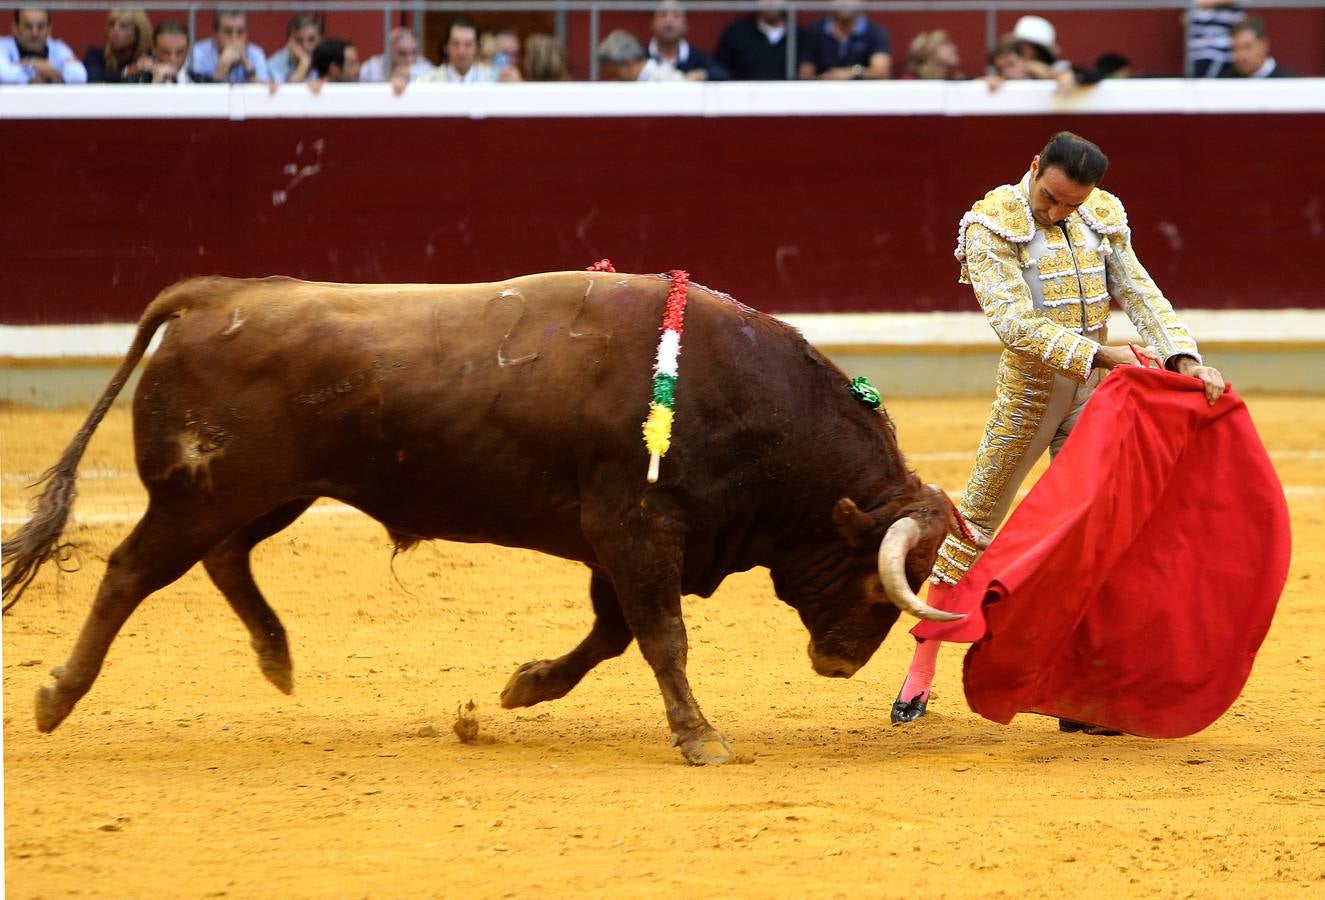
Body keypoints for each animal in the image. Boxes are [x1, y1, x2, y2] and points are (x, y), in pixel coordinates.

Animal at [0, 271, 959, 763]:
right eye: (883, 588)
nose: (839, 664)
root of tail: (212, 296)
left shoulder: (624, 542)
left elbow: (614, 633)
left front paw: (523, 687)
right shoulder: (635, 530)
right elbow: (659, 636)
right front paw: (701, 739)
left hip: (272, 493)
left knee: (227, 558)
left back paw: (275, 656)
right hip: (202, 495)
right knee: (132, 571)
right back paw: (56, 696)